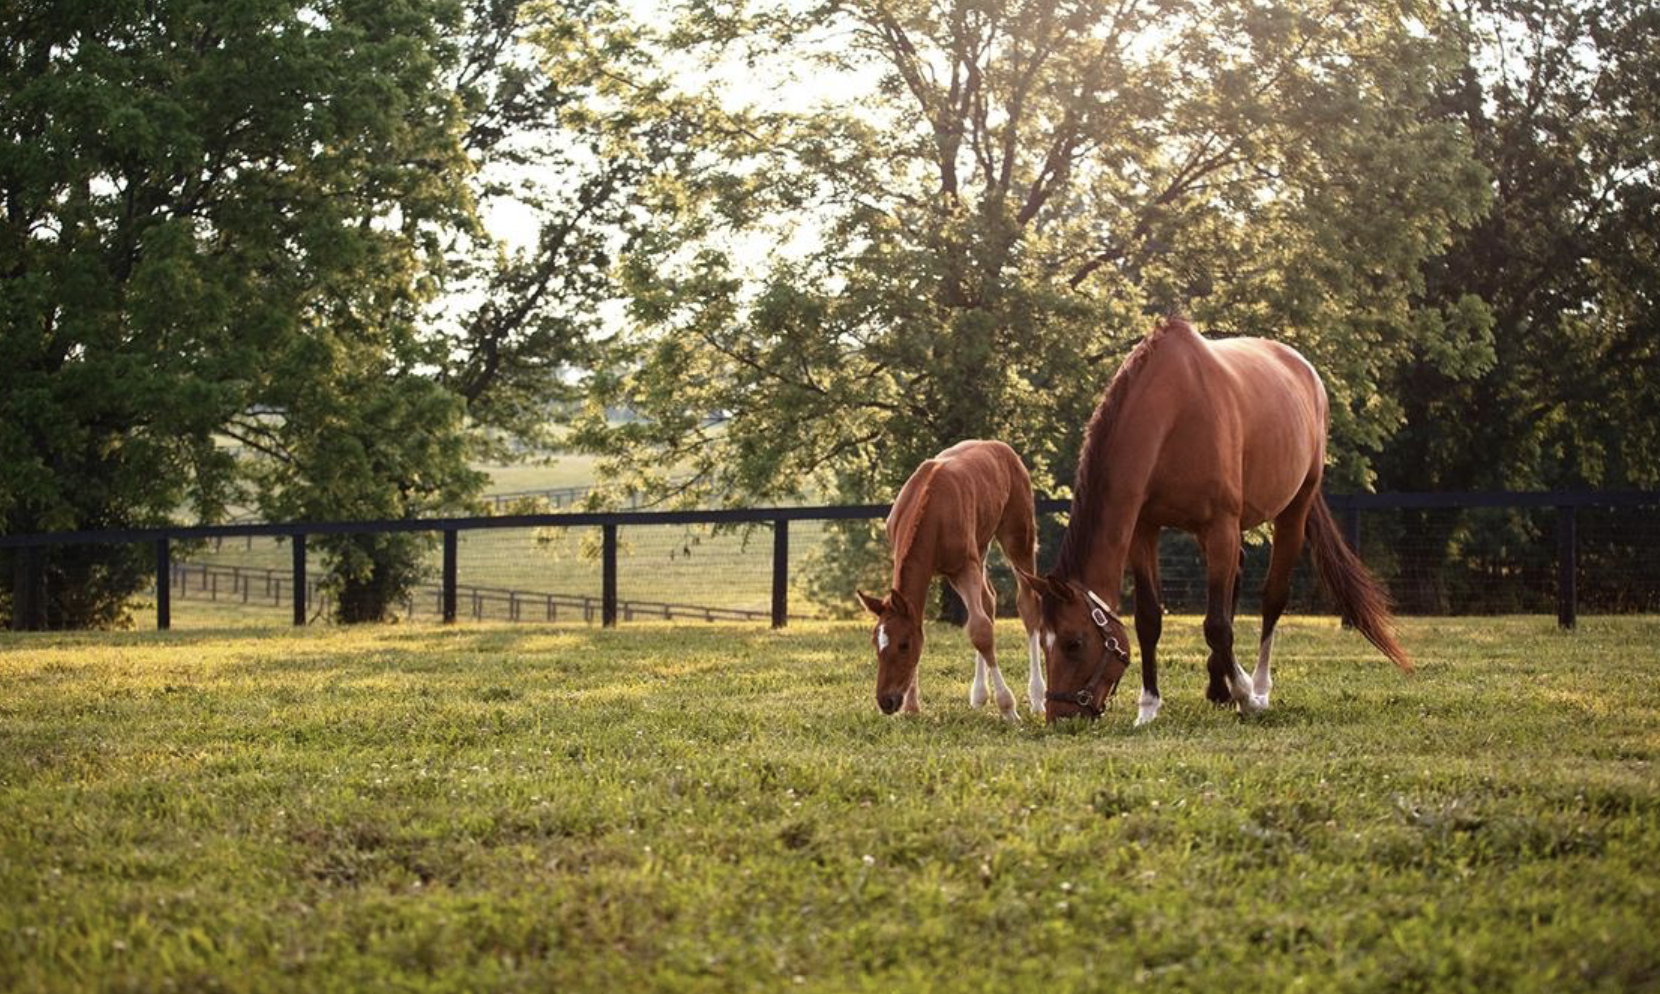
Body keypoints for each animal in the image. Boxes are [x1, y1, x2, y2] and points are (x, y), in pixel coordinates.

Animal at [863, 438, 1042, 720]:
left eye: (903, 645)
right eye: (875, 643)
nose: (886, 702)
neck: (930, 507)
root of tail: (1001, 447)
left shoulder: (963, 568)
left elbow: (980, 631)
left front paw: (1008, 708)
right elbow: (929, 623)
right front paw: (913, 707)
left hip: (1018, 536)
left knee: (1027, 603)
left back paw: (1037, 697)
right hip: (981, 545)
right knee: (988, 600)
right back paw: (979, 695)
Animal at [1015, 318, 1407, 723]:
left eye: (1073, 643)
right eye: (1044, 643)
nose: (1060, 714)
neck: (1174, 412)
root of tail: (1306, 371)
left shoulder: (1220, 526)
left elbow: (1217, 625)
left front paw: (1246, 696)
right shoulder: (1144, 530)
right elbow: (1149, 619)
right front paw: (1148, 706)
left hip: (1292, 508)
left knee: (1273, 596)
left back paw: (1259, 687)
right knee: (1237, 576)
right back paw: (1220, 685)